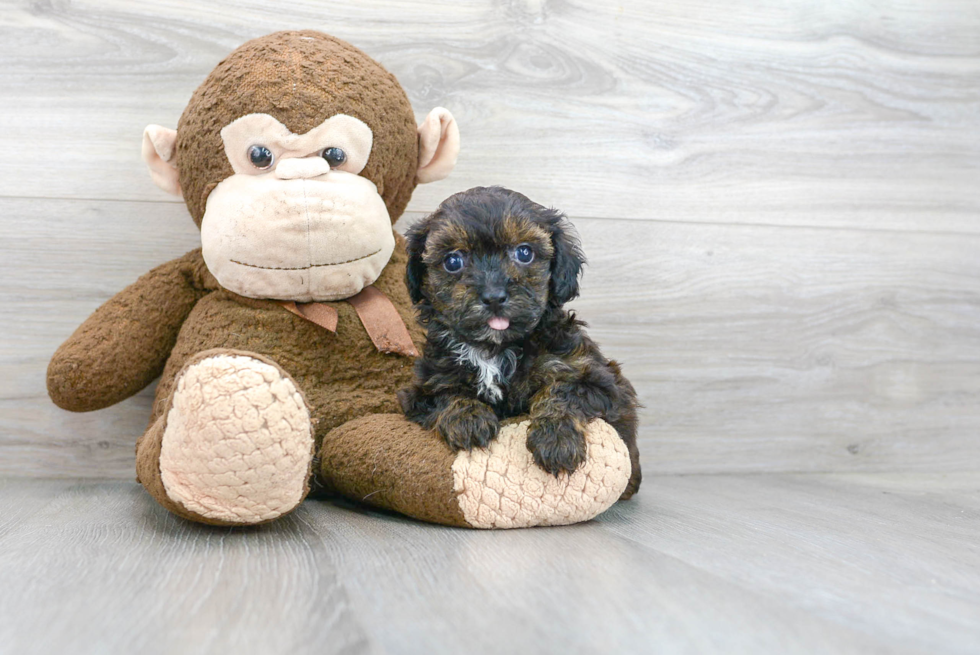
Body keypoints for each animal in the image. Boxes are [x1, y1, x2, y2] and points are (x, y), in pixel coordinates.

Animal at [398, 187, 644, 500]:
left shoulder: (601, 382)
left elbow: (561, 390)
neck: (494, 348)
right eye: (453, 261)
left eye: (524, 253)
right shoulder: (422, 388)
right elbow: (446, 393)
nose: (493, 296)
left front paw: (555, 439)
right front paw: (468, 419)